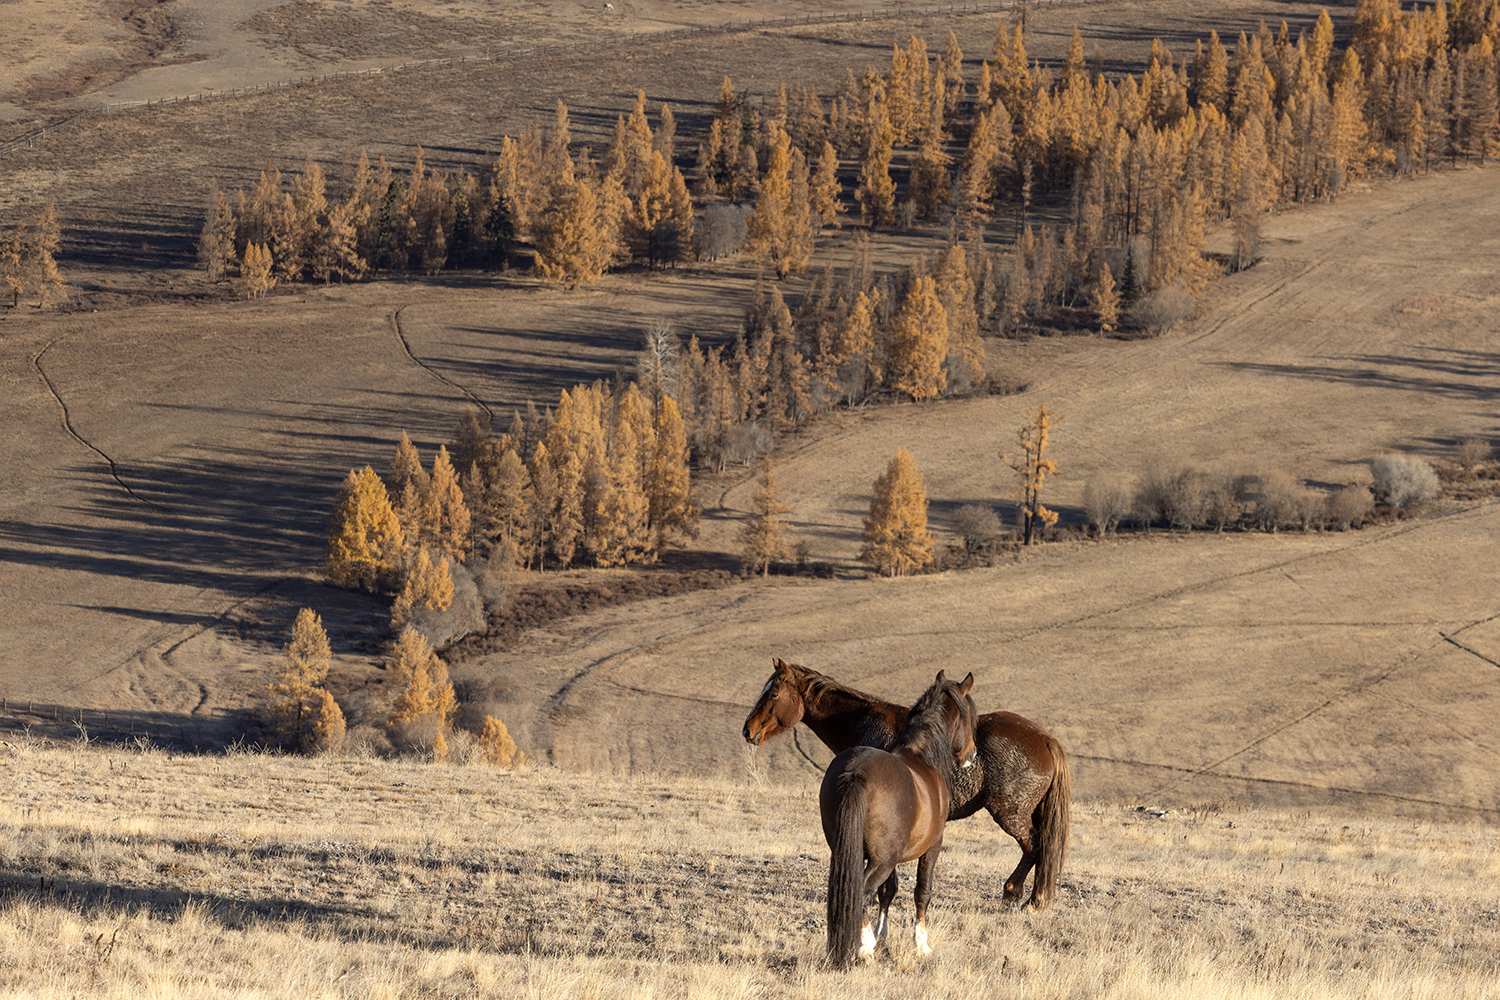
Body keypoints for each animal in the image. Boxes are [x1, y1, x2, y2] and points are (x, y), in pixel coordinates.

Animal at [744, 659, 1074, 911]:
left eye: (774, 694)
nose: (748, 730)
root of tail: (1046, 739)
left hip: (1010, 814)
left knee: (1034, 846)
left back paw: (1019, 896)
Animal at [816, 668, 978, 965]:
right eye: (971, 717)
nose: (971, 754)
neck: (923, 758)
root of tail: (856, 771)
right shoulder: (933, 845)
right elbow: (922, 891)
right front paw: (921, 944)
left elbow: (887, 892)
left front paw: (883, 938)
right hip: (882, 860)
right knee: (861, 892)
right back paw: (864, 947)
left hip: (852, 851)